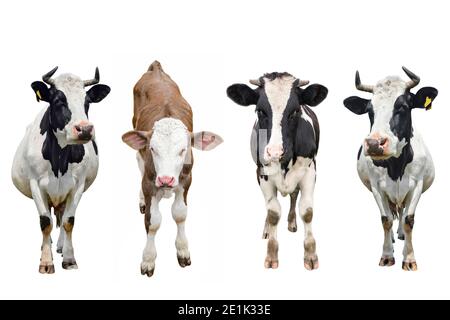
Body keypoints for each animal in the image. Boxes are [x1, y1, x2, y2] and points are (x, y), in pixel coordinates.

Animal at [11, 66, 110, 274]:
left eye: (87, 102)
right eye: (58, 101)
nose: (85, 129)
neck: (59, 161)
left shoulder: (77, 185)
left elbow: (68, 221)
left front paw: (69, 258)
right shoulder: (36, 185)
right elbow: (45, 222)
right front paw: (46, 262)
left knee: (62, 215)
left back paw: (61, 247)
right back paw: (46, 246)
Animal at [121, 60, 223, 278]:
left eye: (183, 150)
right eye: (153, 148)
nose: (166, 180)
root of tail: (156, 68)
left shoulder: (186, 180)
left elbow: (180, 213)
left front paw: (183, 250)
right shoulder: (149, 182)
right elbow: (153, 222)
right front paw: (148, 259)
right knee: (138, 161)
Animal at [229, 72, 326, 270]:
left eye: (295, 111)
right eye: (260, 111)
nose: (275, 152)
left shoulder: (310, 171)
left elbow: (307, 211)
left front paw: (310, 255)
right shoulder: (262, 174)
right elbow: (273, 212)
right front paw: (272, 253)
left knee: (294, 195)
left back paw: (291, 222)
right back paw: (267, 229)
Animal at [344, 67, 436, 270]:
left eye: (402, 107)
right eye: (369, 111)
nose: (374, 144)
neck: (396, 167)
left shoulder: (416, 186)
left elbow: (409, 220)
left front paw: (409, 258)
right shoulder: (377, 187)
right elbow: (385, 220)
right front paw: (387, 255)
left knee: (401, 212)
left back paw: (401, 235)